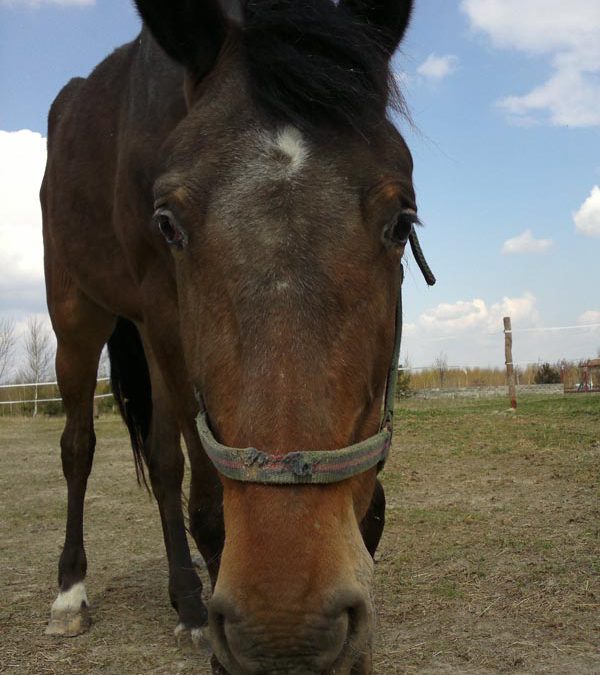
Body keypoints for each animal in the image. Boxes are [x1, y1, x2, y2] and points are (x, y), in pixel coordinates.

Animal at [42, 1, 434, 672]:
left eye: (402, 221)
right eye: (168, 224)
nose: (287, 629)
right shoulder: (162, 310)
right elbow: (208, 504)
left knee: (164, 462)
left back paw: (189, 603)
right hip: (77, 318)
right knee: (79, 447)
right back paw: (71, 594)